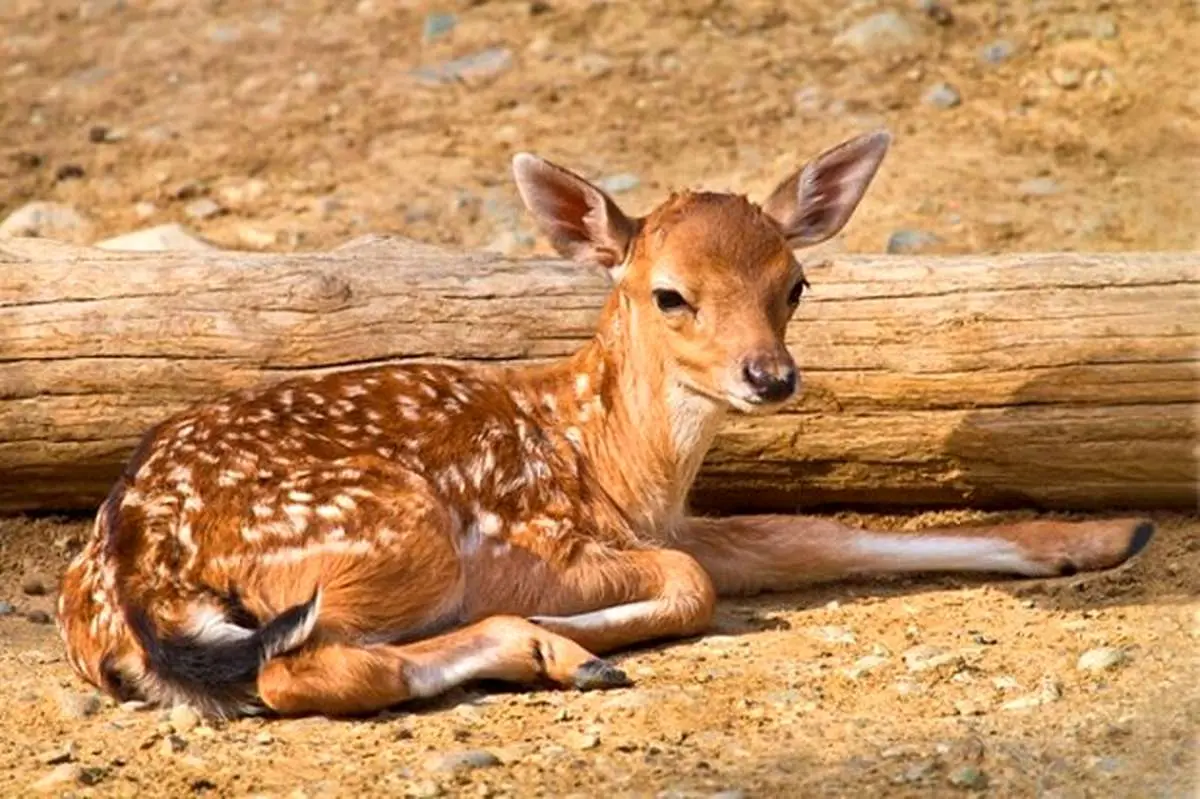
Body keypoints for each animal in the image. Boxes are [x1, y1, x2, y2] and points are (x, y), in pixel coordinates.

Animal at [56, 130, 1152, 715]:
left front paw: (1106, 534)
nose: (771, 376)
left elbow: (820, 533)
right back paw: (556, 652)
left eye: (795, 283)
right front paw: (573, 631)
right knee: (297, 671)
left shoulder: (675, 523)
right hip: (398, 531)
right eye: (669, 294)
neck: (613, 463)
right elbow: (694, 582)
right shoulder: (540, 539)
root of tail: (131, 580)